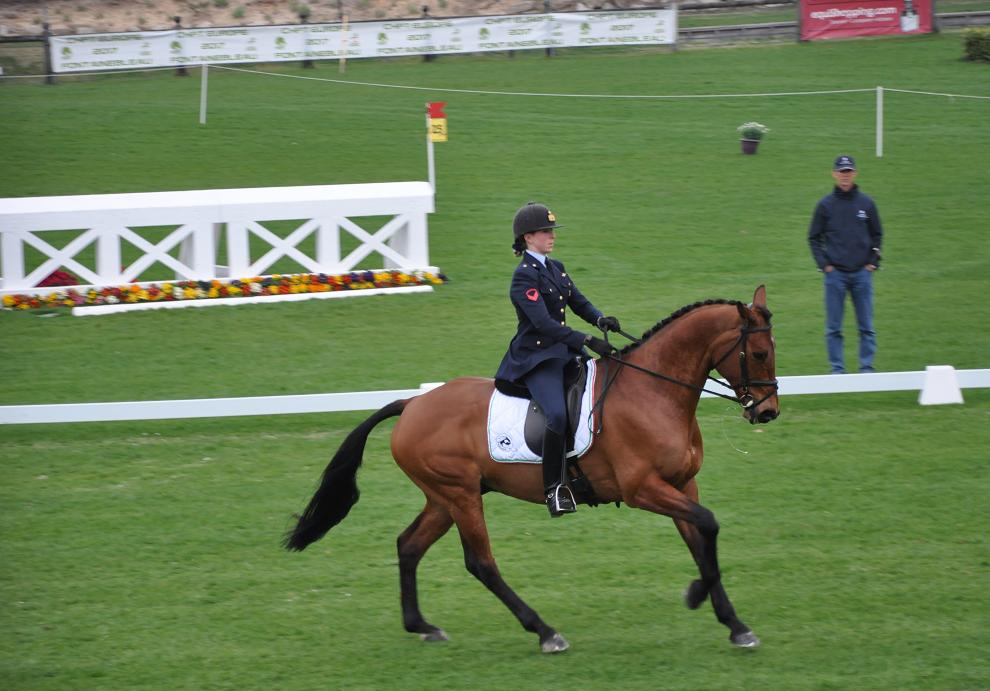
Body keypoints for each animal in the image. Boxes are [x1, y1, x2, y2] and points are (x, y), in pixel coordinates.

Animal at [282, 286, 780, 656]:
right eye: (757, 353)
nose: (768, 412)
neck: (653, 391)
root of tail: (413, 404)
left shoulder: (681, 484)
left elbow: (702, 538)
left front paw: (734, 624)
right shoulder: (643, 489)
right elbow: (708, 527)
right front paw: (697, 596)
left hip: (445, 497)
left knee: (409, 545)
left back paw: (422, 625)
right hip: (459, 494)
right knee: (481, 563)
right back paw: (545, 632)